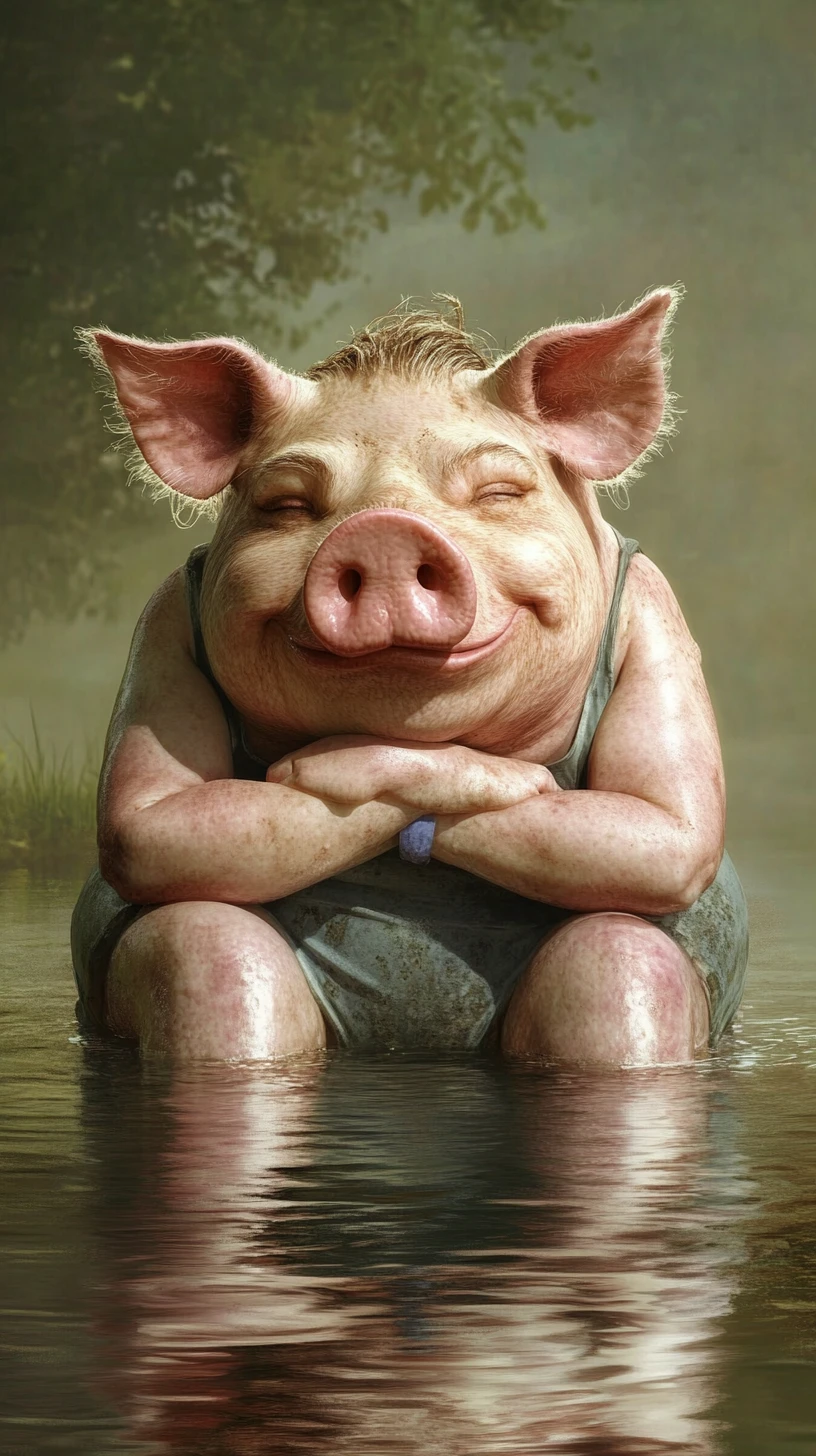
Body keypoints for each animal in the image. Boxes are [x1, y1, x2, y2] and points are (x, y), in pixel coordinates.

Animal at [71, 290, 749, 1064]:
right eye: (290, 507)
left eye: (497, 492)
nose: (384, 531)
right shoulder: (161, 624)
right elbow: (148, 815)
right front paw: (319, 771)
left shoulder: (653, 606)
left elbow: (667, 821)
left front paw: (519, 781)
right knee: (203, 944)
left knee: (622, 955)